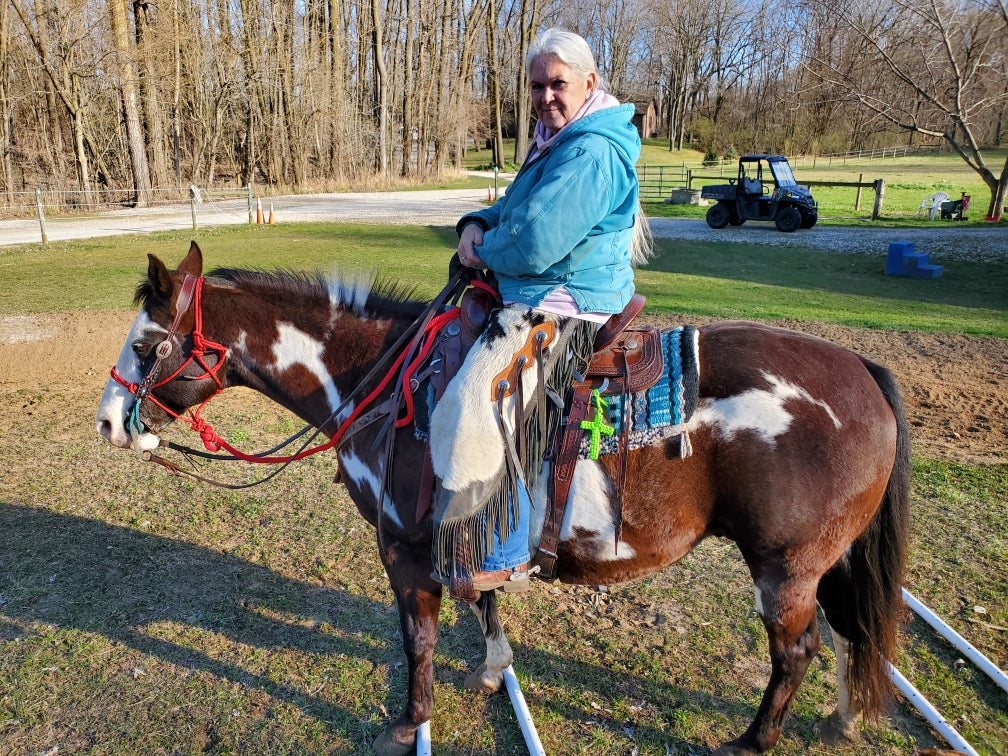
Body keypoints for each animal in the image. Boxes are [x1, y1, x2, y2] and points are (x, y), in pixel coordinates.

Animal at [96, 245, 915, 753]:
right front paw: (491, 669)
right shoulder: (465, 529)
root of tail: (863, 371)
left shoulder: (404, 549)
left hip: (784, 565)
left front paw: (408, 723)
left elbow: (419, 639)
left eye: (144, 345)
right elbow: (484, 600)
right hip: (824, 562)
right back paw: (843, 718)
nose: (105, 422)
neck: (388, 382)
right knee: (850, 632)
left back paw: (752, 741)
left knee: (797, 651)